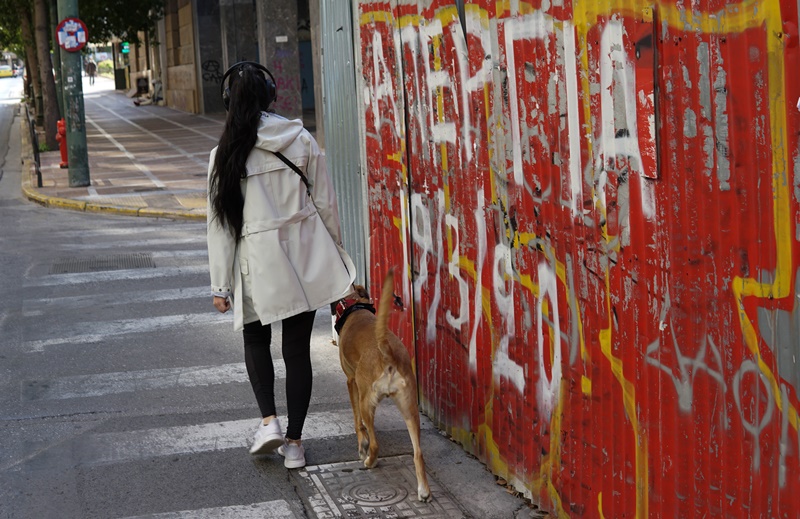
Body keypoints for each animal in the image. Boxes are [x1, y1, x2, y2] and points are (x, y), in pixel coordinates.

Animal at [334, 270, 432, 506]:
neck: (354, 307)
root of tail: (386, 351)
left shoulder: (351, 382)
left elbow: (357, 423)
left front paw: (361, 444)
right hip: (410, 409)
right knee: (418, 453)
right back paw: (423, 491)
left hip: (367, 402)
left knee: (375, 443)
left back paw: (369, 461)